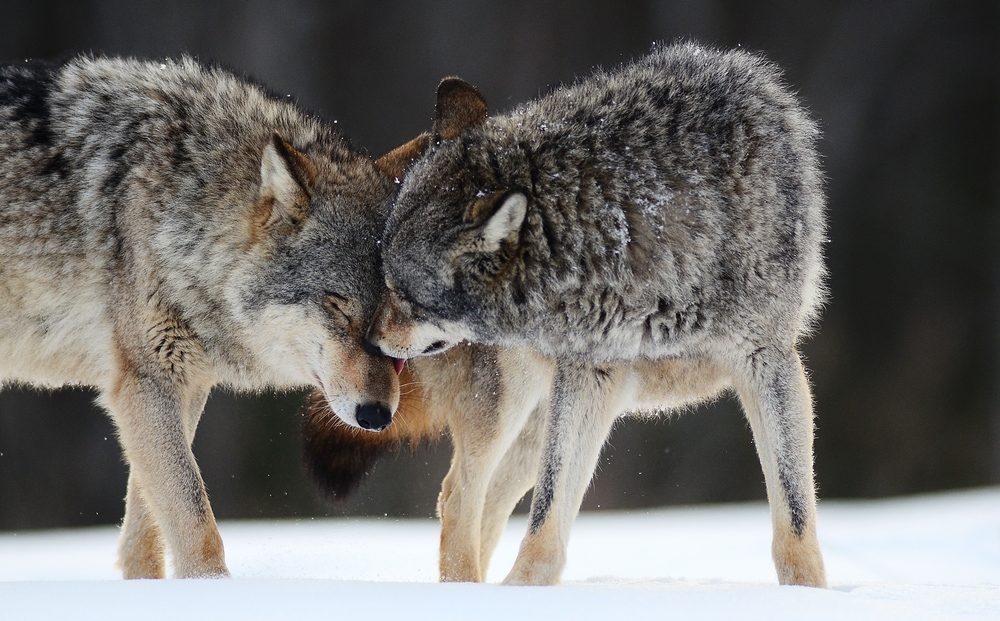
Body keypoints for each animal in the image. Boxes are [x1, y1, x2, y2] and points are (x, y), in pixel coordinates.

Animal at [0, 55, 419, 578]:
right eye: (339, 307)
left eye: (400, 325)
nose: (377, 416)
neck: (181, 211)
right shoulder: (146, 382)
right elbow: (194, 520)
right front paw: (211, 587)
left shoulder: (186, 384)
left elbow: (146, 528)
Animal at [364, 42, 828, 587]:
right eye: (385, 281)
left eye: (402, 293)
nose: (369, 339)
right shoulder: (590, 374)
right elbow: (546, 520)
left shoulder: (769, 362)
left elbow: (794, 519)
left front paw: (809, 594)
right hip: (512, 406)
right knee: (458, 496)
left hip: (536, 421)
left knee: (485, 501)